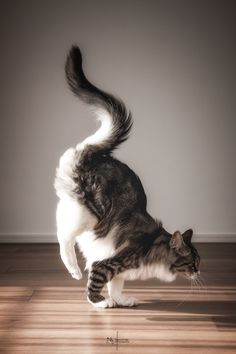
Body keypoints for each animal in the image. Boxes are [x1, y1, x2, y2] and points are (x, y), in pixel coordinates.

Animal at [54, 46, 200, 306]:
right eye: (192, 263)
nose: (200, 271)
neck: (154, 246)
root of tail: (92, 153)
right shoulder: (107, 263)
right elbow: (96, 283)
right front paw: (100, 303)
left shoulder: (118, 271)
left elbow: (116, 286)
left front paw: (122, 301)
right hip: (91, 214)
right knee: (64, 236)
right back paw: (73, 269)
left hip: (73, 206)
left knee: (59, 225)